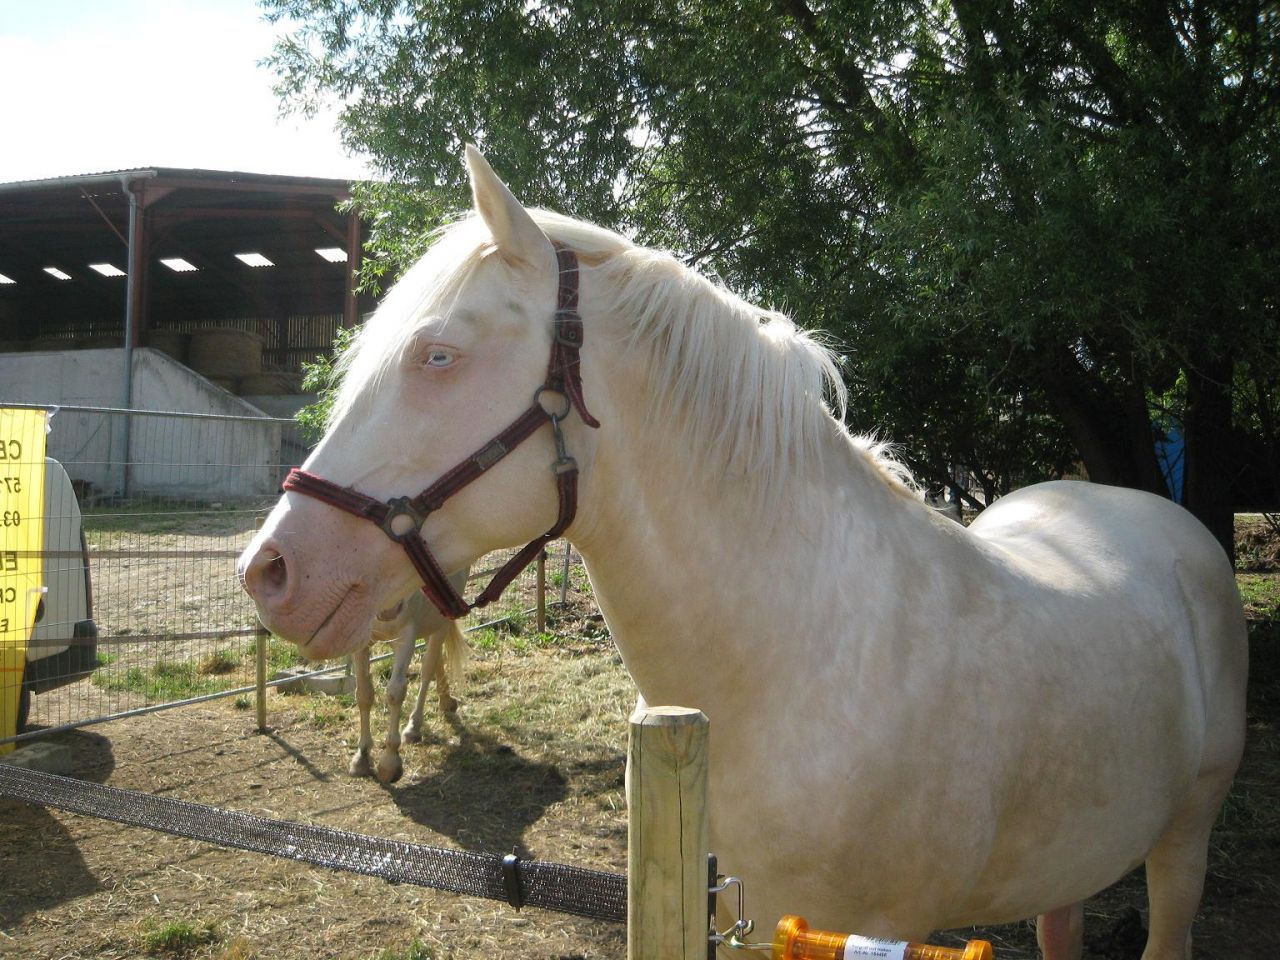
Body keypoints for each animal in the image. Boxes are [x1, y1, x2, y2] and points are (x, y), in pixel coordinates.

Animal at [350, 575, 468, 784]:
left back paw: (414, 728)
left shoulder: (406, 637)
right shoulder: (360, 641)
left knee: (428, 666)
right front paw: (362, 757)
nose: (389, 609)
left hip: (440, 619)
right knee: (436, 658)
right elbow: (364, 694)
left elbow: (395, 693)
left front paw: (390, 763)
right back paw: (446, 701)